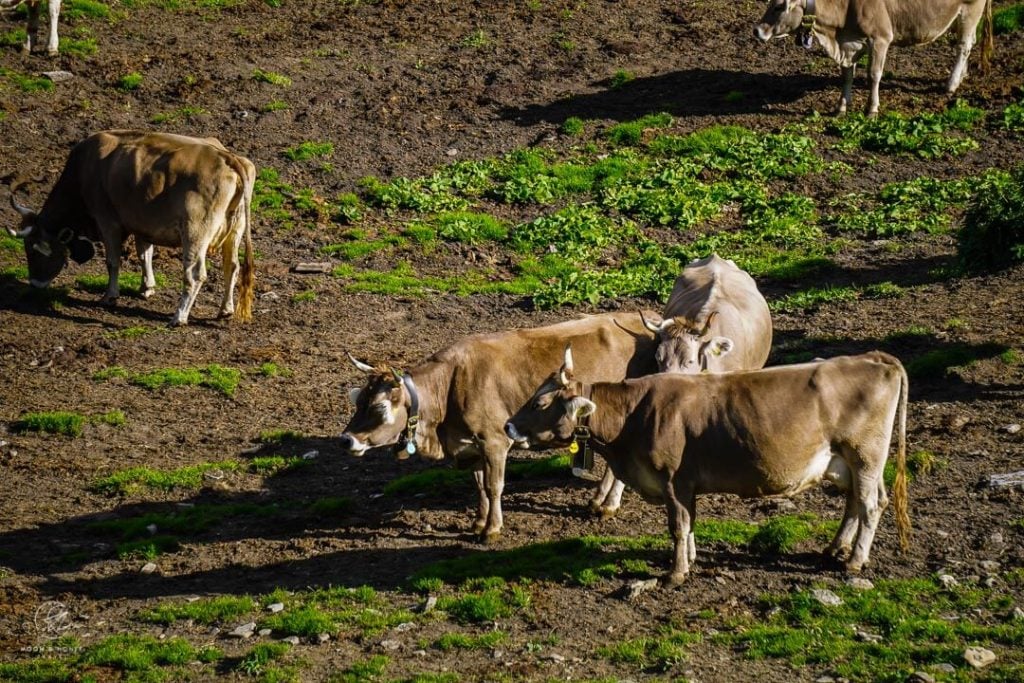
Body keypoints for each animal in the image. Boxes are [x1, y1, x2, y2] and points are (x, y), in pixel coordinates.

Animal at [9, 133, 256, 327]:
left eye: (34, 250)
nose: (35, 284)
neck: (85, 169)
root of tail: (226, 157)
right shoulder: (142, 224)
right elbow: (144, 254)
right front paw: (146, 287)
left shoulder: (107, 221)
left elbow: (112, 261)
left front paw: (110, 296)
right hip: (235, 230)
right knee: (232, 266)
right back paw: (225, 309)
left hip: (195, 232)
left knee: (195, 274)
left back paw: (179, 316)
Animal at [337, 313, 655, 540]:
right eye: (358, 401)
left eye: (379, 407)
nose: (346, 440)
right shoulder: (470, 445)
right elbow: (479, 485)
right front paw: (478, 522)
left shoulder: (494, 441)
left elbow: (493, 485)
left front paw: (492, 529)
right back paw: (599, 500)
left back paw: (609, 504)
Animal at [503, 350, 913, 585]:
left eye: (540, 404)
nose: (508, 426)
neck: (634, 415)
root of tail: (873, 357)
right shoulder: (687, 485)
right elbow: (690, 524)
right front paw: (692, 558)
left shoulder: (673, 481)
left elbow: (678, 525)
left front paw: (676, 573)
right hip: (847, 462)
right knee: (854, 501)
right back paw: (834, 548)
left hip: (865, 456)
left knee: (872, 503)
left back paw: (855, 561)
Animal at [753, 0, 991, 114]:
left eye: (778, 7)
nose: (757, 30)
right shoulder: (848, 44)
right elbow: (847, 76)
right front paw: (841, 107)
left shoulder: (880, 38)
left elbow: (874, 75)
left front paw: (871, 108)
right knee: (970, 42)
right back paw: (962, 76)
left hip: (970, 10)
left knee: (963, 46)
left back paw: (951, 84)